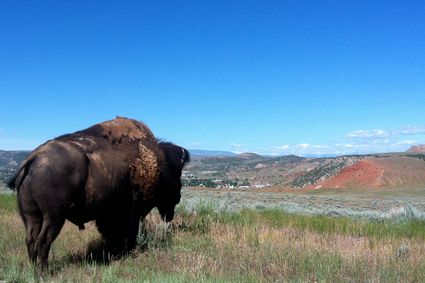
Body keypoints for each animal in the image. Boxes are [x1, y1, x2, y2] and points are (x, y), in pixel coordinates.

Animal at [7, 117, 190, 270]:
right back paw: (44, 271)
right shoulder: (133, 210)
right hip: (54, 217)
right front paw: (129, 251)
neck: (155, 162)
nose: (179, 197)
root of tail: (35, 157)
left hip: (32, 216)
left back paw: (33, 269)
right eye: (177, 173)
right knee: (43, 241)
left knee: (30, 239)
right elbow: (129, 231)